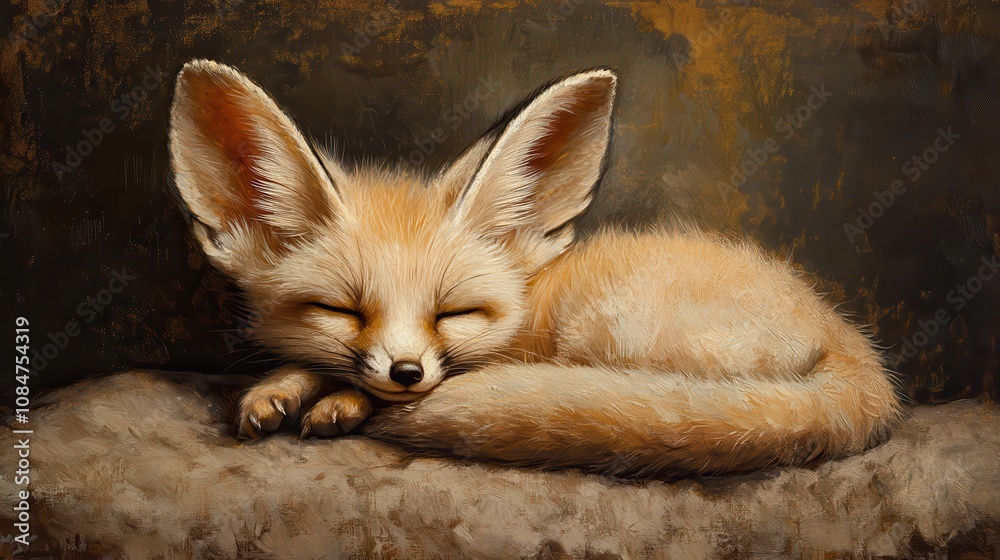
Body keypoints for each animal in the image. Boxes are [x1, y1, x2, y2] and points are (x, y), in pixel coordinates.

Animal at [169, 59, 903, 478]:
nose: (406, 371)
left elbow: (365, 387)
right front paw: (283, 388)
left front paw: (336, 401)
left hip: (612, 327)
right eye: (341, 310)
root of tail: (850, 342)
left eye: (455, 313)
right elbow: (314, 363)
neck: (530, 298)